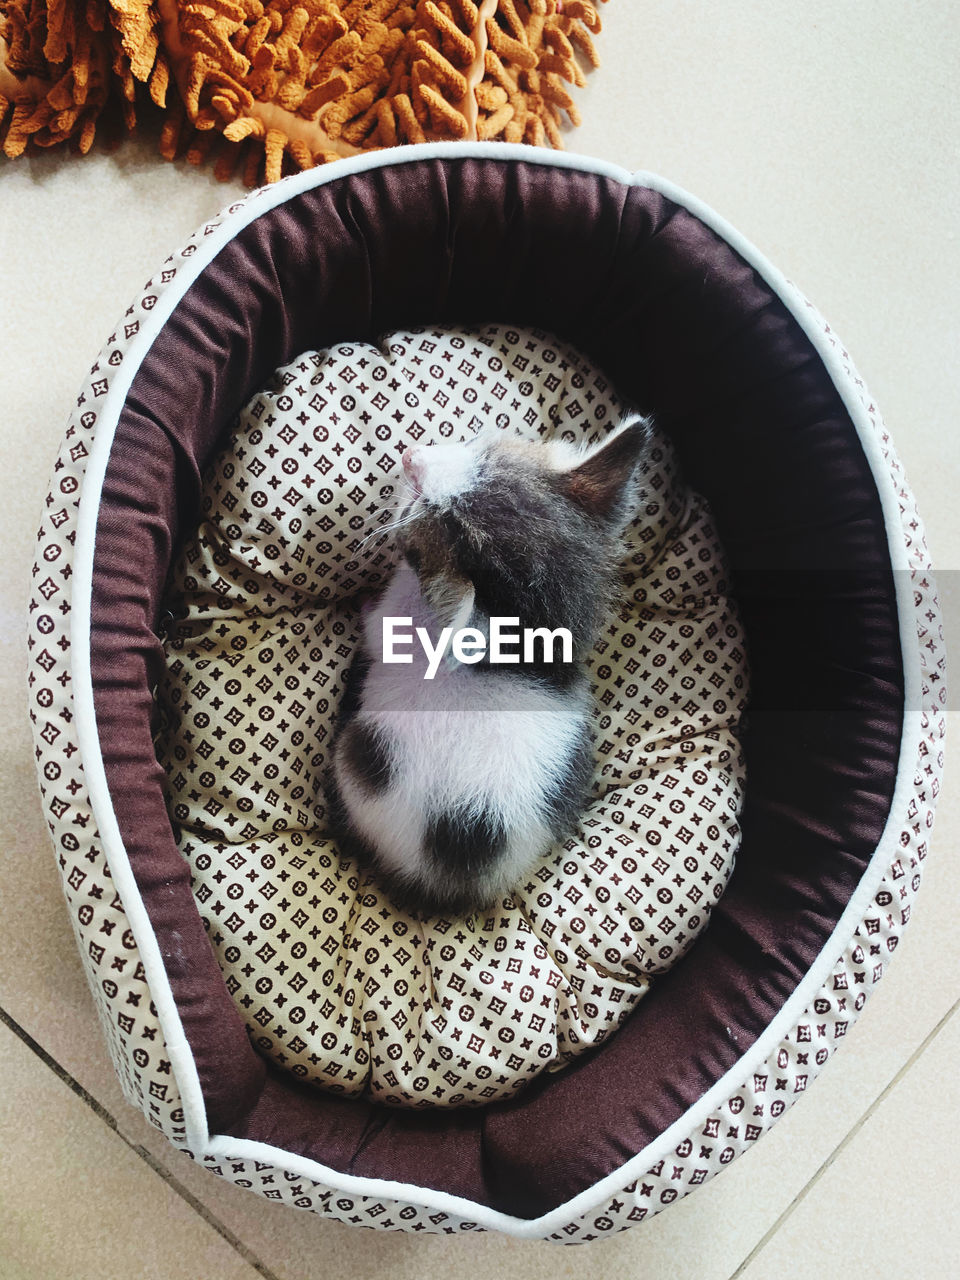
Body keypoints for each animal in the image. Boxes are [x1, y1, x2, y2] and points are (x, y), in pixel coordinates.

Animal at [325, 414, 655, 916]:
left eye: (414, 511)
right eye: (479, 448)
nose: (409, 454)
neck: (523, 633)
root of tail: (448, 879)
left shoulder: (393, 619)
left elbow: (373, 624)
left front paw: (359, 605)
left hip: (356, 762)